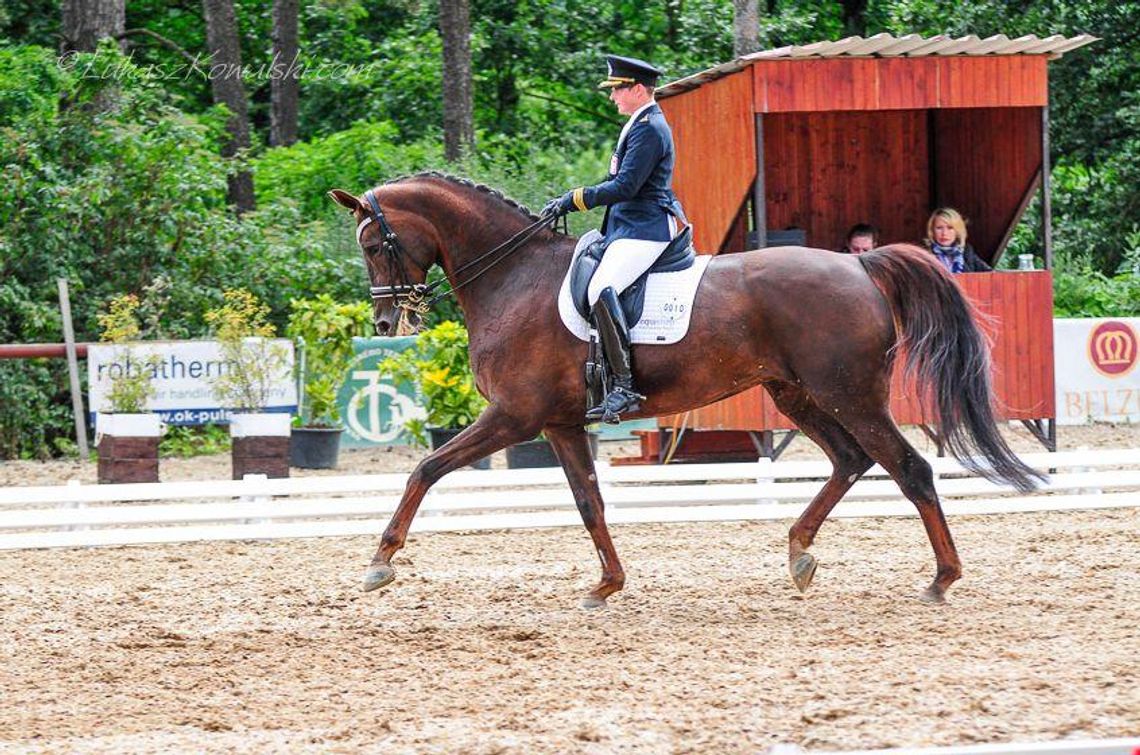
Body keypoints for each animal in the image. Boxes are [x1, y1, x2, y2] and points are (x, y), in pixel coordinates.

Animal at [330, 173, 1044, 611]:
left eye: (374, 244)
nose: (387, 324)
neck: (512, 277)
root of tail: (859, 264)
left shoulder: (514, 416)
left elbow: (426, 468)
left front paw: (380, 562)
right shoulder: (559, 424)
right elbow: (590, 504)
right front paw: (606, 585)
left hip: (851, 395)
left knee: (909, 467)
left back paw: (941, 579)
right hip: (798, 395)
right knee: (852, 460)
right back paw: (799, 554)